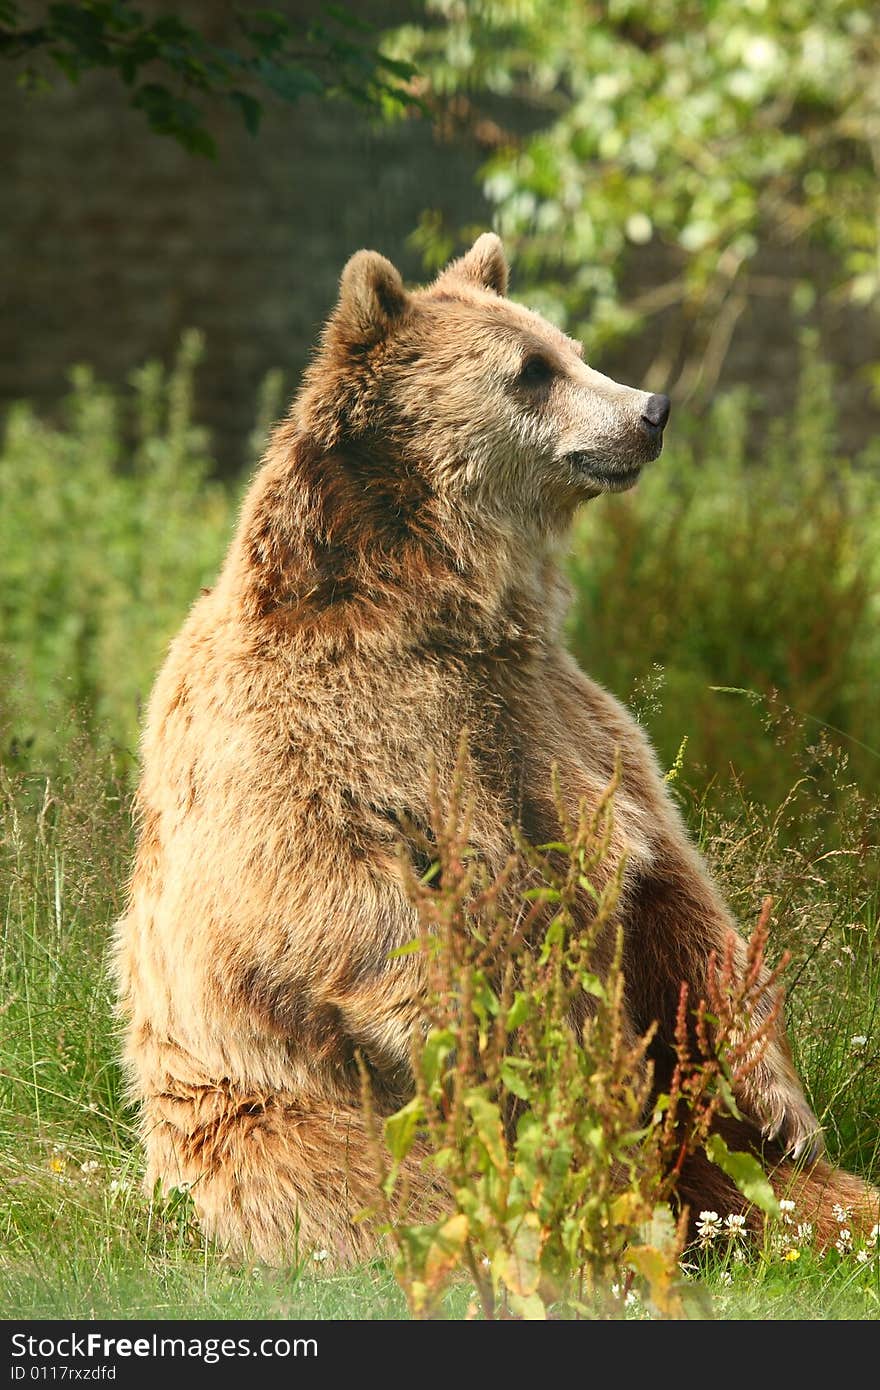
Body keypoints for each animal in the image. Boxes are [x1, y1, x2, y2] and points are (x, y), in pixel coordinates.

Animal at [113, 233, 873, 1267]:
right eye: (532, 369)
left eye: (573, 345)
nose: (652, 410)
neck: (438, 607)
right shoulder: (303, 736)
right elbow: (342, 906)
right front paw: (512, 1058)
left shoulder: (562, 720)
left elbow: (672, 890)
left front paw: (782, 1101)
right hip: (275, 1116)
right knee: (392, 1193)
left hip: (698, 1155)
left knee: (788, 1191)